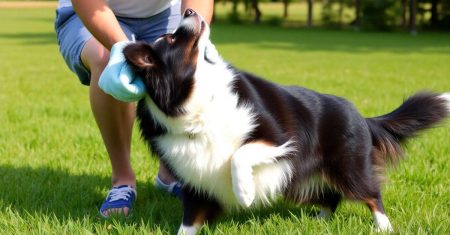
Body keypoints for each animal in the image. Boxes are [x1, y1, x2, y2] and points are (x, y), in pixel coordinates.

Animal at [121, 8, 448, 233]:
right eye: (171, 37)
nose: (189, 11)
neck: (195, 100)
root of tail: (361, 117)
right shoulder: (195, 178)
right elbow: (189, 220)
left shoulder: (279, 138)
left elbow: (240, 154)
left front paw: (244, 192)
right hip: (306, 179)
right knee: (330, 197)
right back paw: (321, 219)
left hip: (348, 167)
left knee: (370, 194)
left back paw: (384, 226)